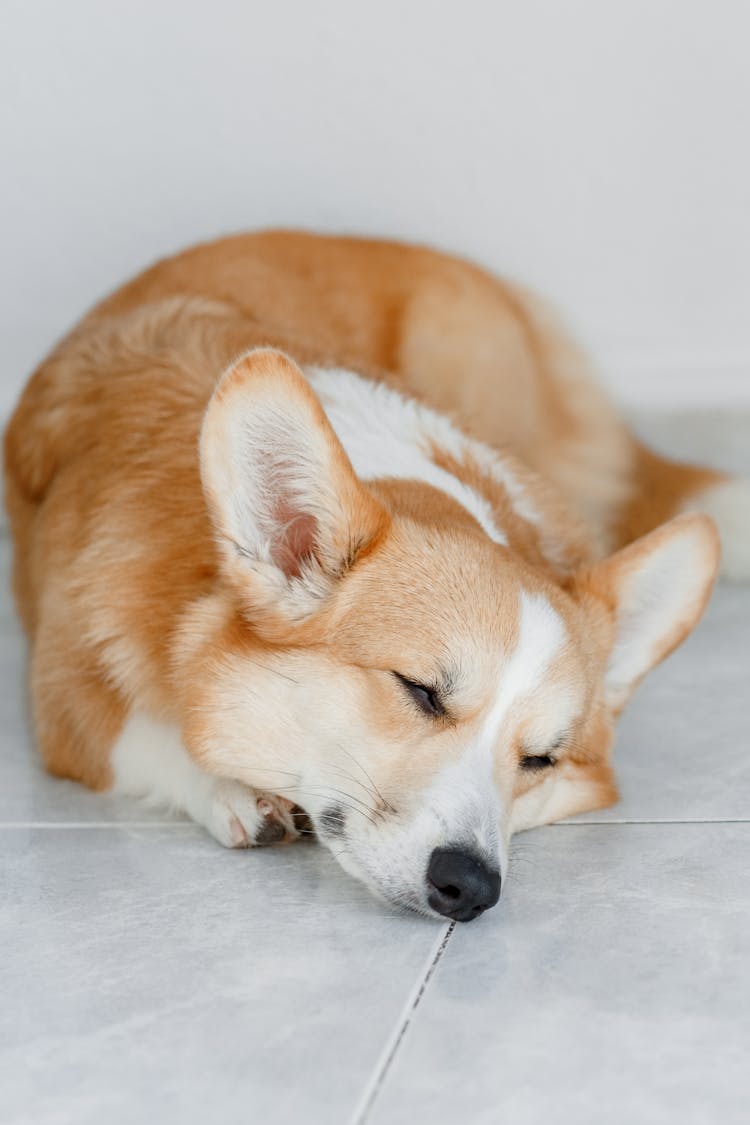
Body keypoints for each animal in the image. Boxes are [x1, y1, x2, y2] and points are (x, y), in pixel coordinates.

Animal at [4, 230, 746, 922]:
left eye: (541, 760)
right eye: (420, 691)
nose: (470, 888)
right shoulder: (64, 703)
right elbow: (154, 733)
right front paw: (234, 786)